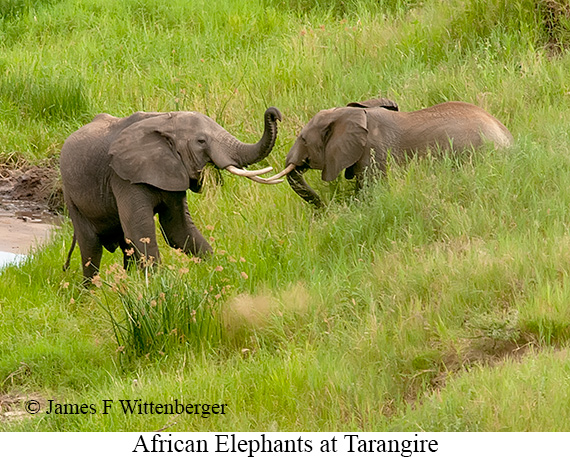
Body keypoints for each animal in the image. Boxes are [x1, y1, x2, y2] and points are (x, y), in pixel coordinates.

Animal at [60, 107, 282, 278]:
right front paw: (157, 283)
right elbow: (140, 231)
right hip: (71, 197)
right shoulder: (123, 177)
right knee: (91, 248)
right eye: (201, 141)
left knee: (124, 244)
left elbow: (177, 229)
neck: (165, 120)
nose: (274, 114)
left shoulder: (173, 169)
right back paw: (90, 294)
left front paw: (220, 269)